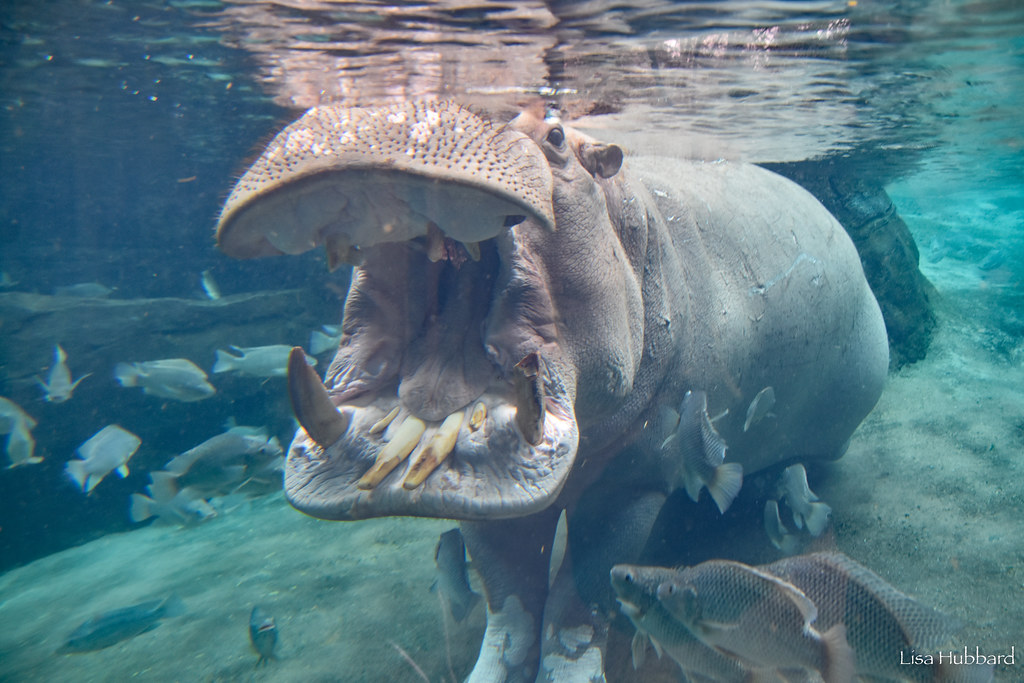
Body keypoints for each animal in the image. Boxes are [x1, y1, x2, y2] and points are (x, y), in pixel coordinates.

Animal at [216, 101, 888, 682]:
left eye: (557, 136)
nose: (405, 109)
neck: (635, 224)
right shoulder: (482, 500)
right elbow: (508, 601)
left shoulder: (633, 479)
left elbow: (582, 593)